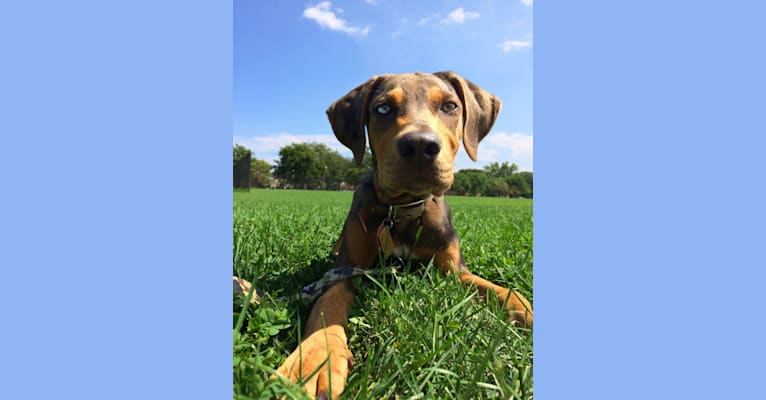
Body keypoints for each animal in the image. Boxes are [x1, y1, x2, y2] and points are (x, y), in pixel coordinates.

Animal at [274, 72, 536, 400]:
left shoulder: (454, 269)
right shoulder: (346, 269)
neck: (403, 210)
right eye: (383, 108)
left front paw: (524, 310)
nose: (420, 146)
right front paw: (314, 359)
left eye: (450, 106)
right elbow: (326, 306)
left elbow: (499, 290)